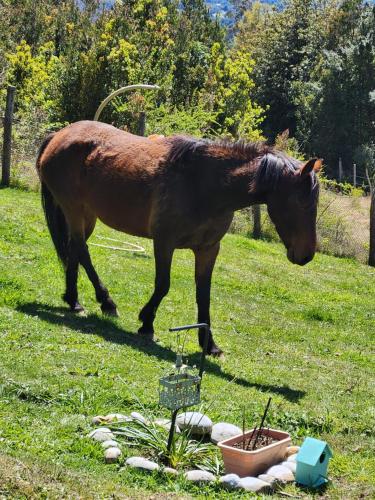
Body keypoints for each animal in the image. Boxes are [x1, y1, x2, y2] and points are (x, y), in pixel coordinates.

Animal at [36, 121, 322, 356]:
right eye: (300, 202)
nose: (307, 254)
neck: (204, 185)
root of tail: (58, 135)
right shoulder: (164, 242)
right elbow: (163, 284)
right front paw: (146, 322)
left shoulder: (208, 249)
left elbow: (204, 295)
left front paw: (209, 344)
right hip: (74, 209)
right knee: (82, 250)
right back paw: (105, 302)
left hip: (87, 215)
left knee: (74, 250)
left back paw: (74, 300)